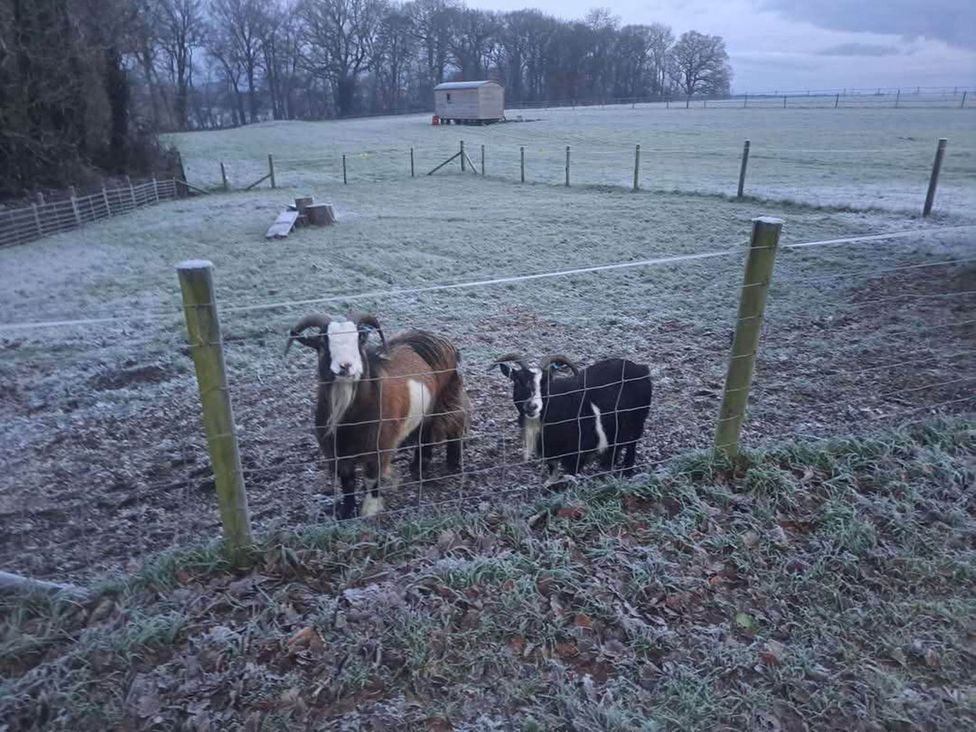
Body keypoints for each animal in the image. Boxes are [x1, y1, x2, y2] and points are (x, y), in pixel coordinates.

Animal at [286, 312, 470, 518]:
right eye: (323, 341)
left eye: (359, 338)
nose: (346, 366)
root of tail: (433, 337)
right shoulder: (337, 450)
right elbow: (347, 481)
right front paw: (346, 511)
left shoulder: (379, 445)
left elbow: (372, 477)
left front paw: (370, 509)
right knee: (425, 434)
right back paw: (418, 467)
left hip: (446, 397)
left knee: (454, 422)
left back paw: (452, 463)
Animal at [491, 353, 652, 488]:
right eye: (518, 380)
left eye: (545, 383)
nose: (532, 406)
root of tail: (641, 368)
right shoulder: (550, 451)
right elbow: (553, 471)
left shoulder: (577, 452)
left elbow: (571, 476)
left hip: (638, 420)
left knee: (632, 443)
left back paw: (626, 471)